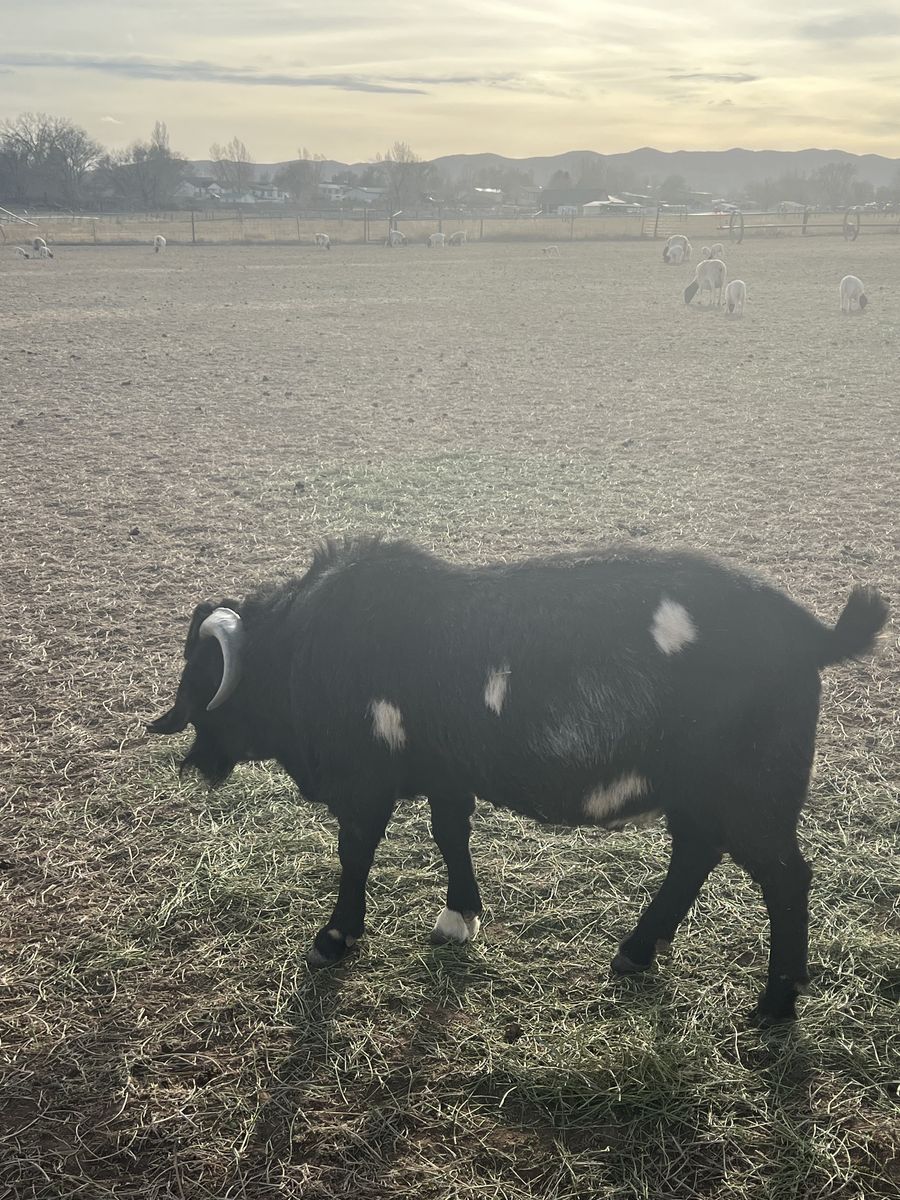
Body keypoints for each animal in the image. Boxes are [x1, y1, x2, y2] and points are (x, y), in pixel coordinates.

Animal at [150, 537, 887, 1025]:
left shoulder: (365, 783)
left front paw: (335, 938)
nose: (193, 758)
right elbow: (450, 832)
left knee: (785, 878)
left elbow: (356, 854)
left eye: (199, 673)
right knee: (697, 853)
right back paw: (637, 951)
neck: (306, 646)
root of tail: (811, 634)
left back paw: (775, 1003)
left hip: (754, 788)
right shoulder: (444, 772)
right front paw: (459, 917)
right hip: (698, 790)